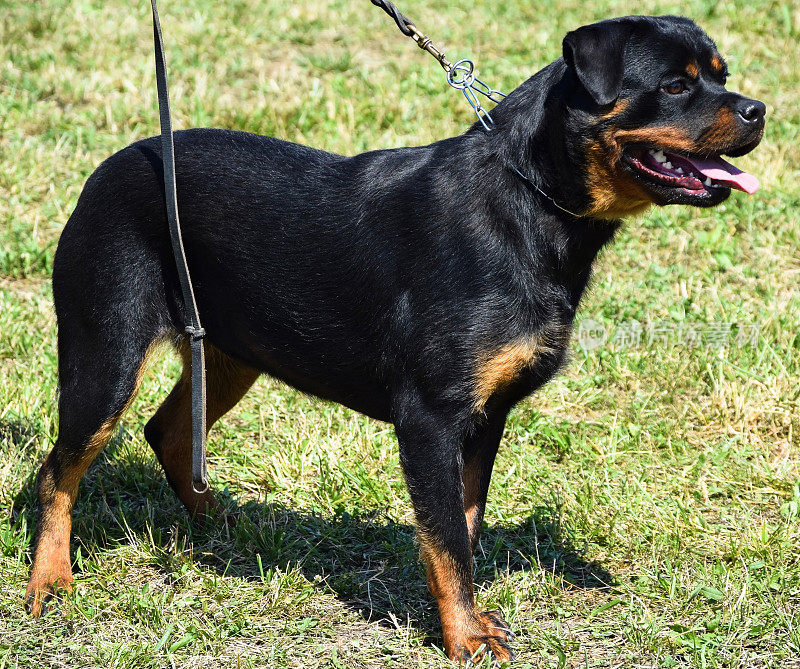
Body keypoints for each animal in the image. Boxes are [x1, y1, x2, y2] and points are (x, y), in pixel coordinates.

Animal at [23, 13, 764, 664]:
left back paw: (224, 526)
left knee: (168, 432)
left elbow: (463, 524)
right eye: (675, 86)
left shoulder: (484, 417)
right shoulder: (430, 418)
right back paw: (50, 580)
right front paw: (465, 638)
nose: (759, 110)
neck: (531, 204)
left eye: (721, 76)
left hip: (236, 352)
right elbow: (447, 541)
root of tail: (114, 163)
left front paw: (468, 619)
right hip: (108, 350)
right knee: (59, 468)